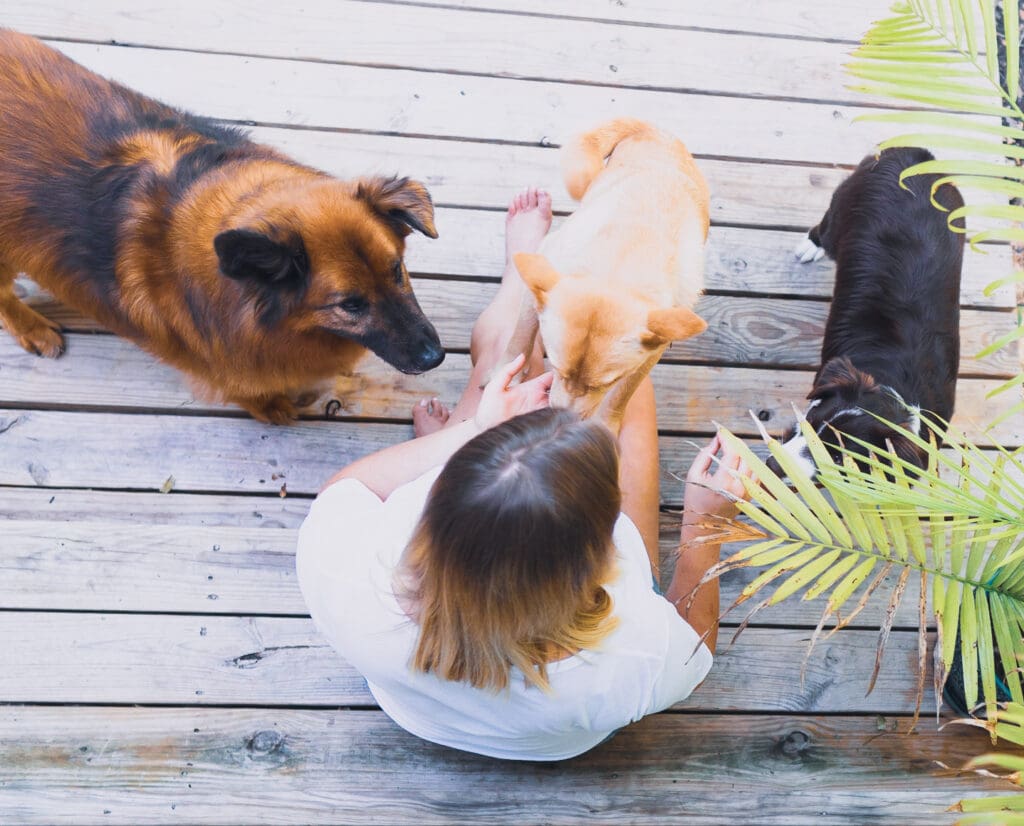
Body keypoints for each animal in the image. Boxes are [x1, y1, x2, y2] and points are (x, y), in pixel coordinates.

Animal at [1, 29, 448, 423]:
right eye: (350, 305)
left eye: (397, 270)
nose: (436, 357)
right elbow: (247, 389)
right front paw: (271, 407)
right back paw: (33, 329)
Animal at [505, 119, 712, 429]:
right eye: (557, 369)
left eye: (604, 384)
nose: (563, 421)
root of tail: (651, 129)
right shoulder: (542, 278)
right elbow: (520, 340)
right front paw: (504, 376)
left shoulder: (648, 355)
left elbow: (622, 396)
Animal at [770, 145, 962, 474]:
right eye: (810, 423)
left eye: (837, 459)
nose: (771, 465)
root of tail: (916, 155)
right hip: (842, 210)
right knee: (825, 228)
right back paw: (811, 245)